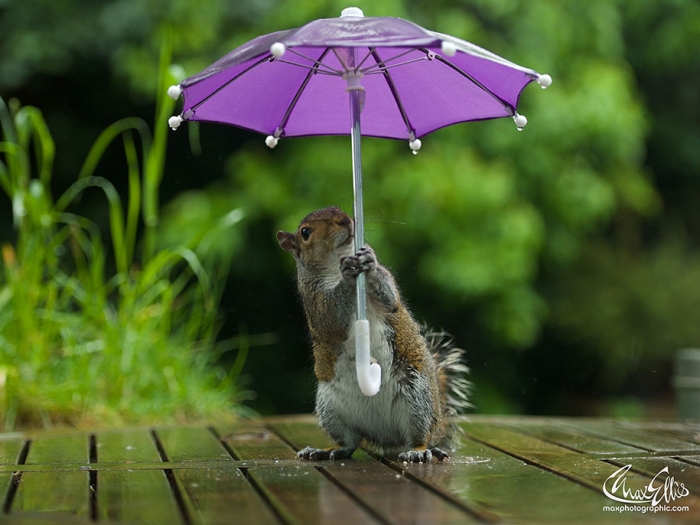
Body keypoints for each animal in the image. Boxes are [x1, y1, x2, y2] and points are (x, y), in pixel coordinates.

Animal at [277, 206, 470, 463]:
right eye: (305, 232)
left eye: (343, 210)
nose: (345, 220)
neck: (334, 265)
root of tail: (387, 437)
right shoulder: (314, 300)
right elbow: (331, 321)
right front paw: (349, 274)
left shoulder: (386, 284)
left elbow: (390, 299)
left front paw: (368, 260)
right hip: (330, 407)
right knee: (349, 443)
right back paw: (327, 450)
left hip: (417, 396)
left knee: (419, 437)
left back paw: (420, 451)